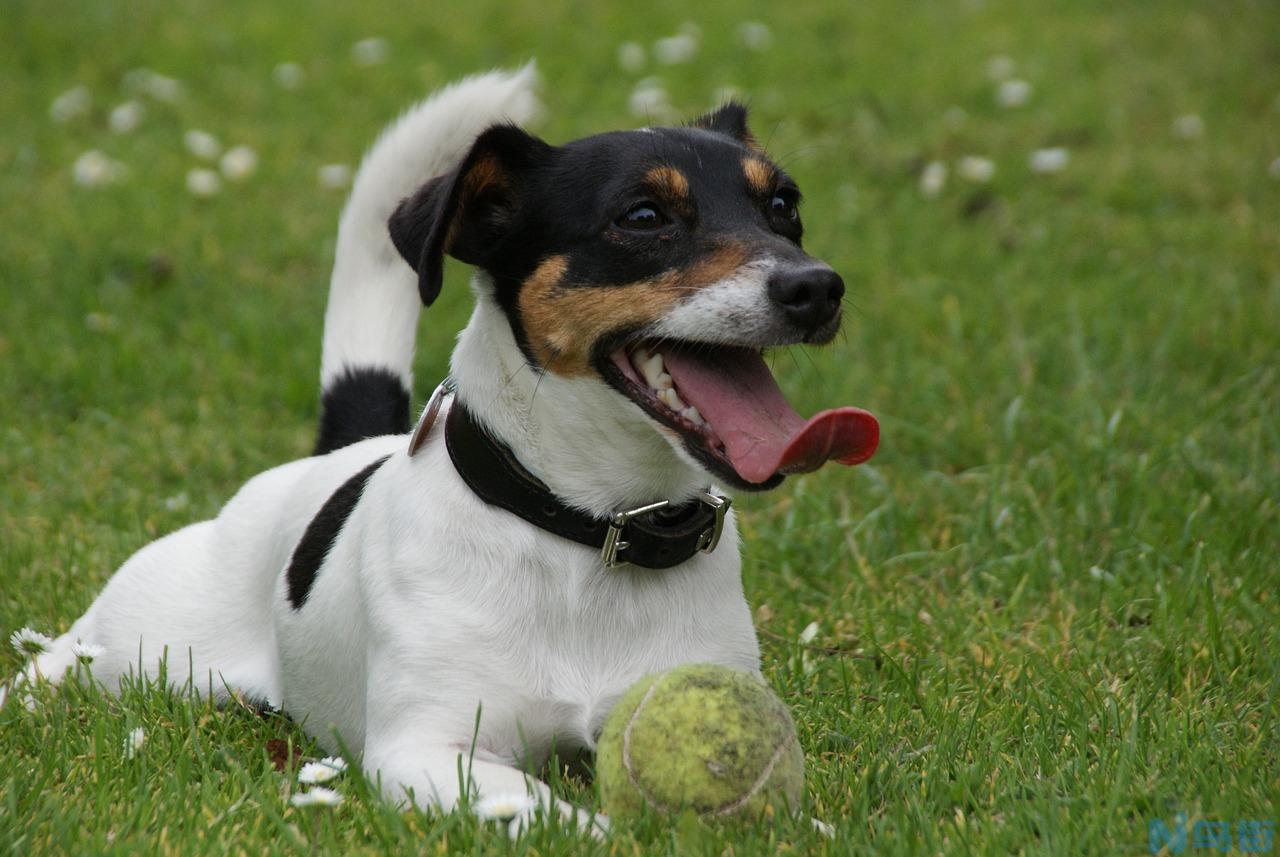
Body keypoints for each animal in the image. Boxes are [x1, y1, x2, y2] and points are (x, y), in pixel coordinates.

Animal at [5, 65, 875, 833]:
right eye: (643, 216)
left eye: (784, 205)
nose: (817, 288)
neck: (592, 534)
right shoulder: (427, 749)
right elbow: (558, 815)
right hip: (141, 641)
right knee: (63, 652)